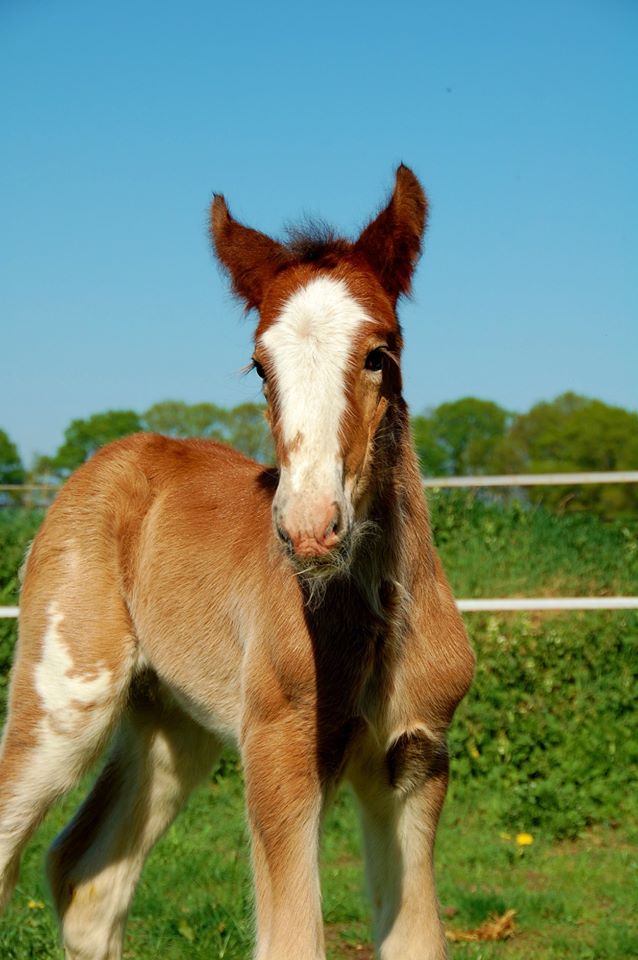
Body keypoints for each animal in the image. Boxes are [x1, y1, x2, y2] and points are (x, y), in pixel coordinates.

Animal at [0, 167, 476, 960]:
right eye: (260, 365)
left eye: (380, 353)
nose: (309, 527)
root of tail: (105, 459)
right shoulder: (281, 754)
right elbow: (292, 941)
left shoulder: (414, 763)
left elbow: (416, 940)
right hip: (64, 697)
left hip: (171, 721)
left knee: (87, 877)